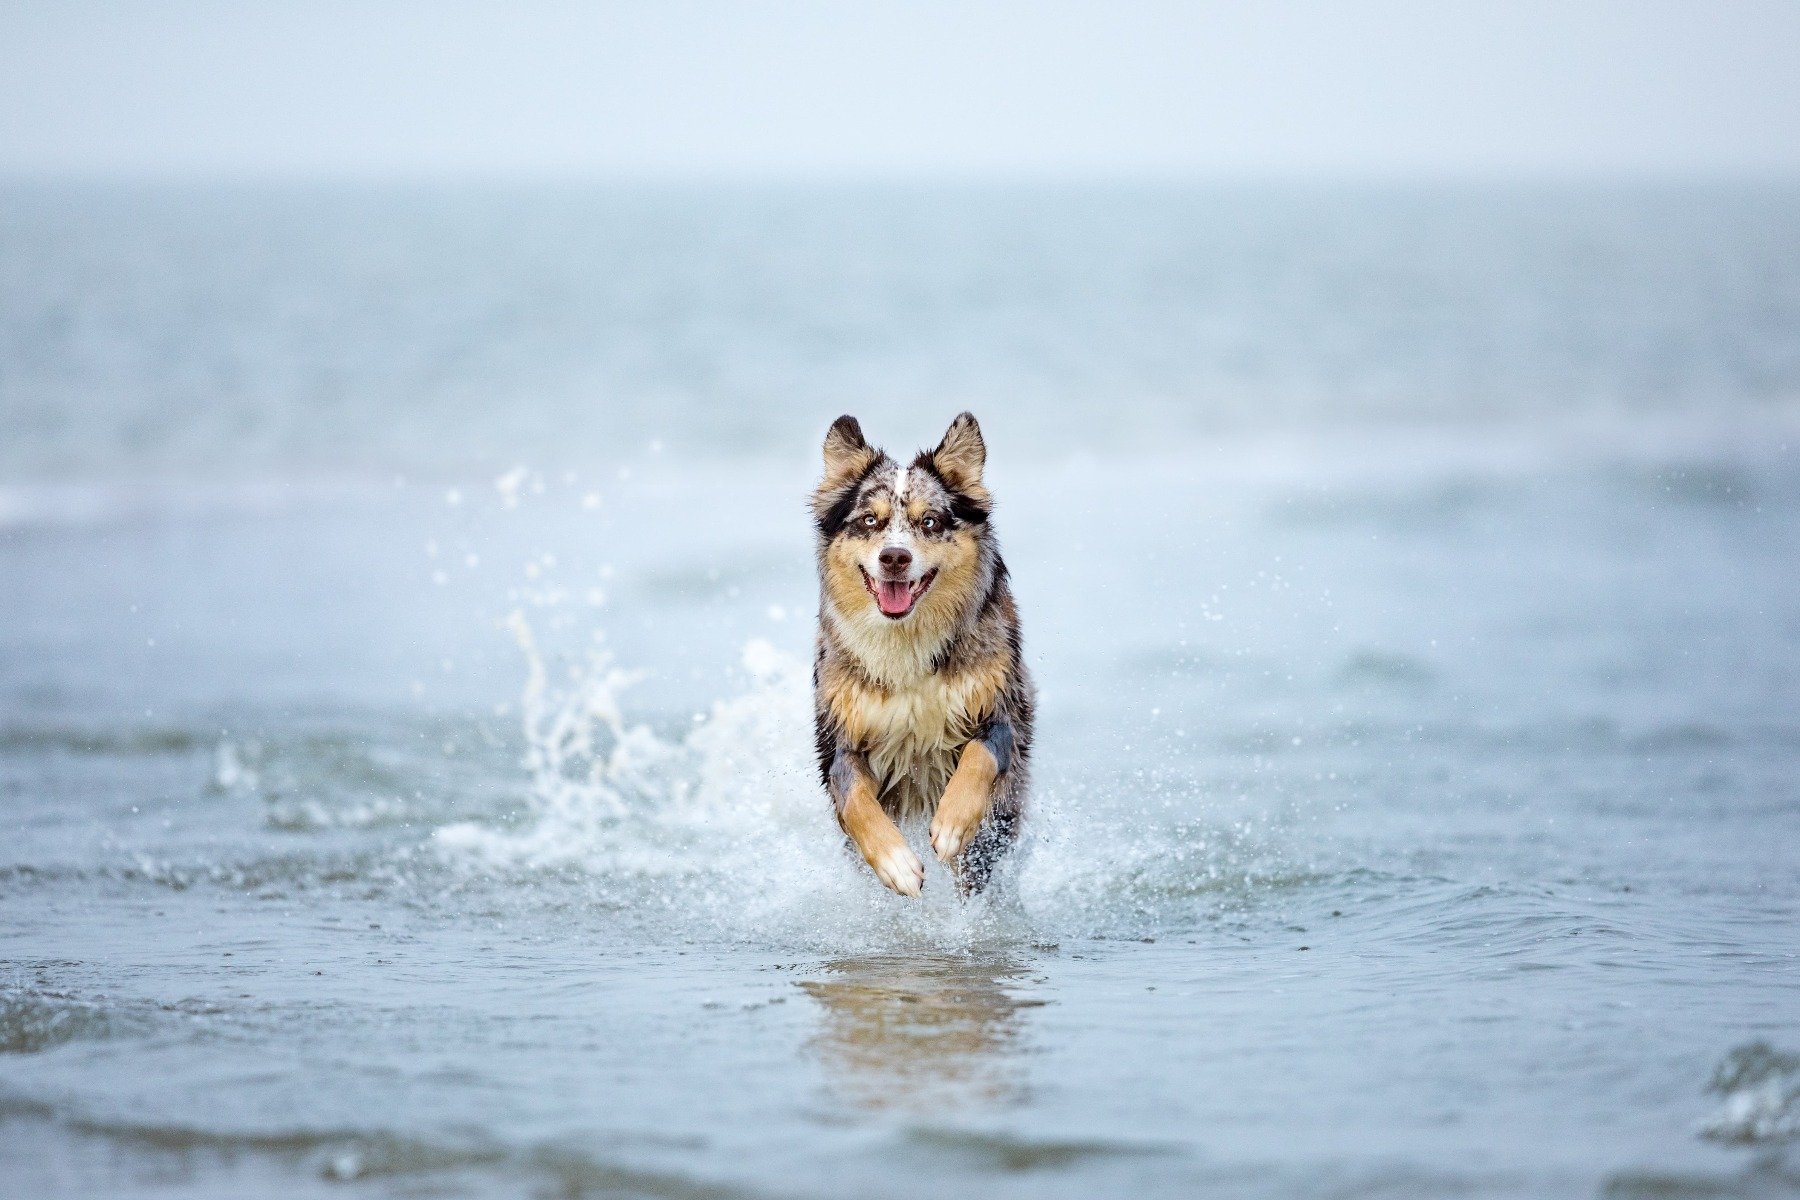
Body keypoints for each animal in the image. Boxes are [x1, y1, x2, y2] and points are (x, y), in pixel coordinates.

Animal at [810, 417, 1036, 895]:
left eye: (929, 521)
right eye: (869, 520)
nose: (895, 557)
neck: (907, 644)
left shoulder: (1000, 707)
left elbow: (981, 753)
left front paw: (951, 824)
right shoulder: (839, 736)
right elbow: (855, 797)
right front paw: (895, 861)